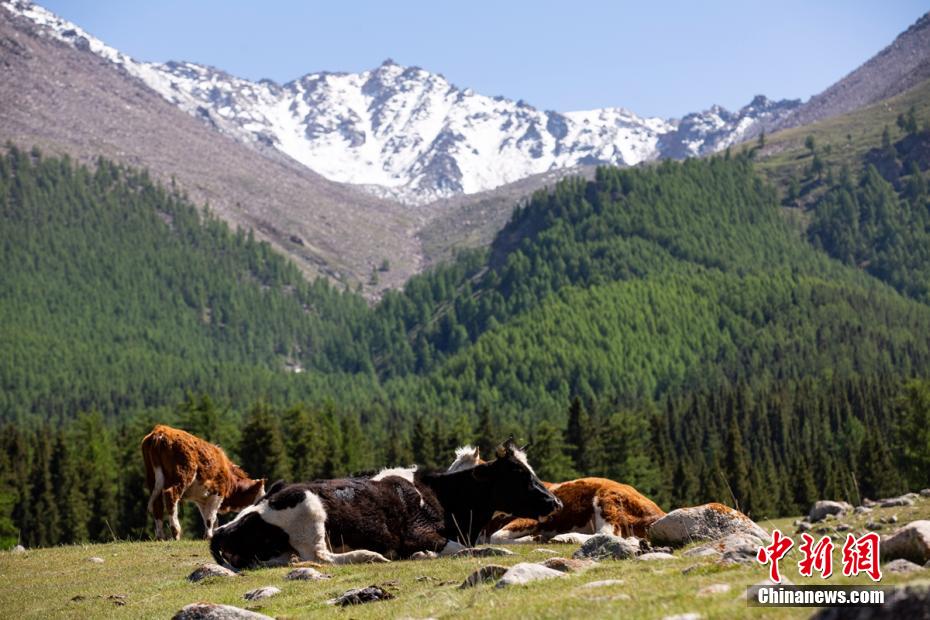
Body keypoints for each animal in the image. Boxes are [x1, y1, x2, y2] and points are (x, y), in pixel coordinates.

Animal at [209, 436, 560, 568]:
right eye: (518, 474)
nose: (555, 501)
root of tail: (223, 529)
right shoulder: (417, 534)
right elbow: (460, 549)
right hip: (308, 510)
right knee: (320, 556)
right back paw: (369, 555)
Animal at [446, 446, 664, 544]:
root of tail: (657, 513)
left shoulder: (530, 519)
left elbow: (498, 537)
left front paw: (534, 538)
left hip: (607, 501)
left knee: (606, 534)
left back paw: (565, 537)